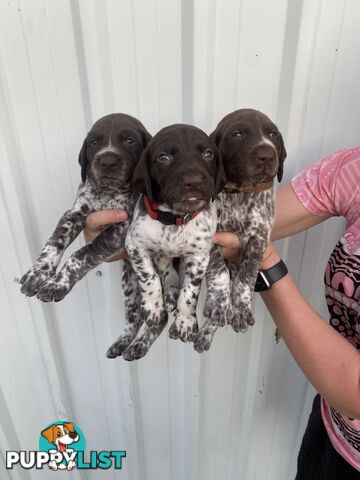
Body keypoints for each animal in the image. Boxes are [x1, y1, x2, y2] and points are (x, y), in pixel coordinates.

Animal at [20, 113, 151, 326]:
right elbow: (54, 242)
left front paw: (58, 283)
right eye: (94, 142)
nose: (107, 161)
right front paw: (38, 272)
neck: (107, 192)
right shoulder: (75, 214)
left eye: (130, 141)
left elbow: (83, 253)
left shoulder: (121, 227)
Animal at [112, 124, 225, 360]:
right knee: (165, 272)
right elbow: (150, 279)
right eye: (163, 157)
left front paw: (185, 322)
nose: (193, 181)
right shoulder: (135, 246)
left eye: (208, 154)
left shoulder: (199, 255)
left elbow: (189, 292)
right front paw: (154, 308)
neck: (174, 220)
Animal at [194, 108, 286, 352]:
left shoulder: (259, 238)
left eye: (273, 134)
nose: (267, 155)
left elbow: (246, 276)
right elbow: (218, 271)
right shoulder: (208, 235)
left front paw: (242, 309)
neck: (240, 193)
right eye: (237, 134)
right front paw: (219, 302)